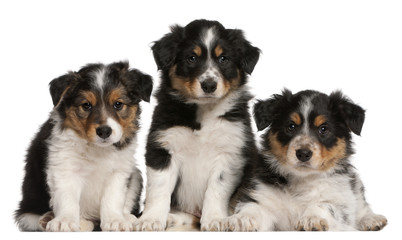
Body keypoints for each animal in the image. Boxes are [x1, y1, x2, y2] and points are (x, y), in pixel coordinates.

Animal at [14, 61, 152, 231]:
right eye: (86, 105)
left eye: (118, 104)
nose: (104, 131)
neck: (96, 148)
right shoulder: (64, 167)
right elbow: (67, 197)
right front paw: (65, 221)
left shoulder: (119, 170)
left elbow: (113, 198)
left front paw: (115, 220)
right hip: (29, 207)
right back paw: (52, 219)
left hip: (136, 176)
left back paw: (127, 218)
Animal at [135, 19, 260, 231]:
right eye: (191, 58)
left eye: (223, 59)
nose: (209, 85)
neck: (204, 112)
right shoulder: (163, 147)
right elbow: (159, 189)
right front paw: (151, 220)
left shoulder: (230, 152)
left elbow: (216, 189)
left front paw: (215, 220)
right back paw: (171, 219)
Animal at [223, 89, 386, 231]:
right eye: (291, 126)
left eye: (323, 129)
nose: (303, 153)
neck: (302, 179)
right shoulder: (262, 196)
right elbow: (252, 208)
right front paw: (241, 219)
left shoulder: (340, 202)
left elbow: (324, 205)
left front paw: (311, 218)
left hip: (355, 183)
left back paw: (372, 220)